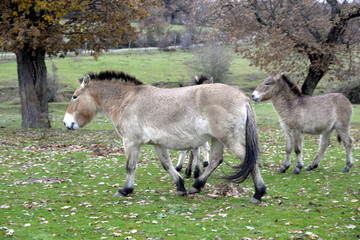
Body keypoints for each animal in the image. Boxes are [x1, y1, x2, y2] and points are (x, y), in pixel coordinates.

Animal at [64, 70, 268, 203]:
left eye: (75, 97)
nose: (67, 123)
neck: (128, 101)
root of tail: (242, 97)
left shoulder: (131, 142)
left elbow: (130, 166)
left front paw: (125, 190)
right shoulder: (157, 143)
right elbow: (167, 165)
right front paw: (180, 186)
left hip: (228, 139)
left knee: (249, 158)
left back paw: (258, 193)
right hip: (217, 139)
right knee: (216, 160)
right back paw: (196, 186)